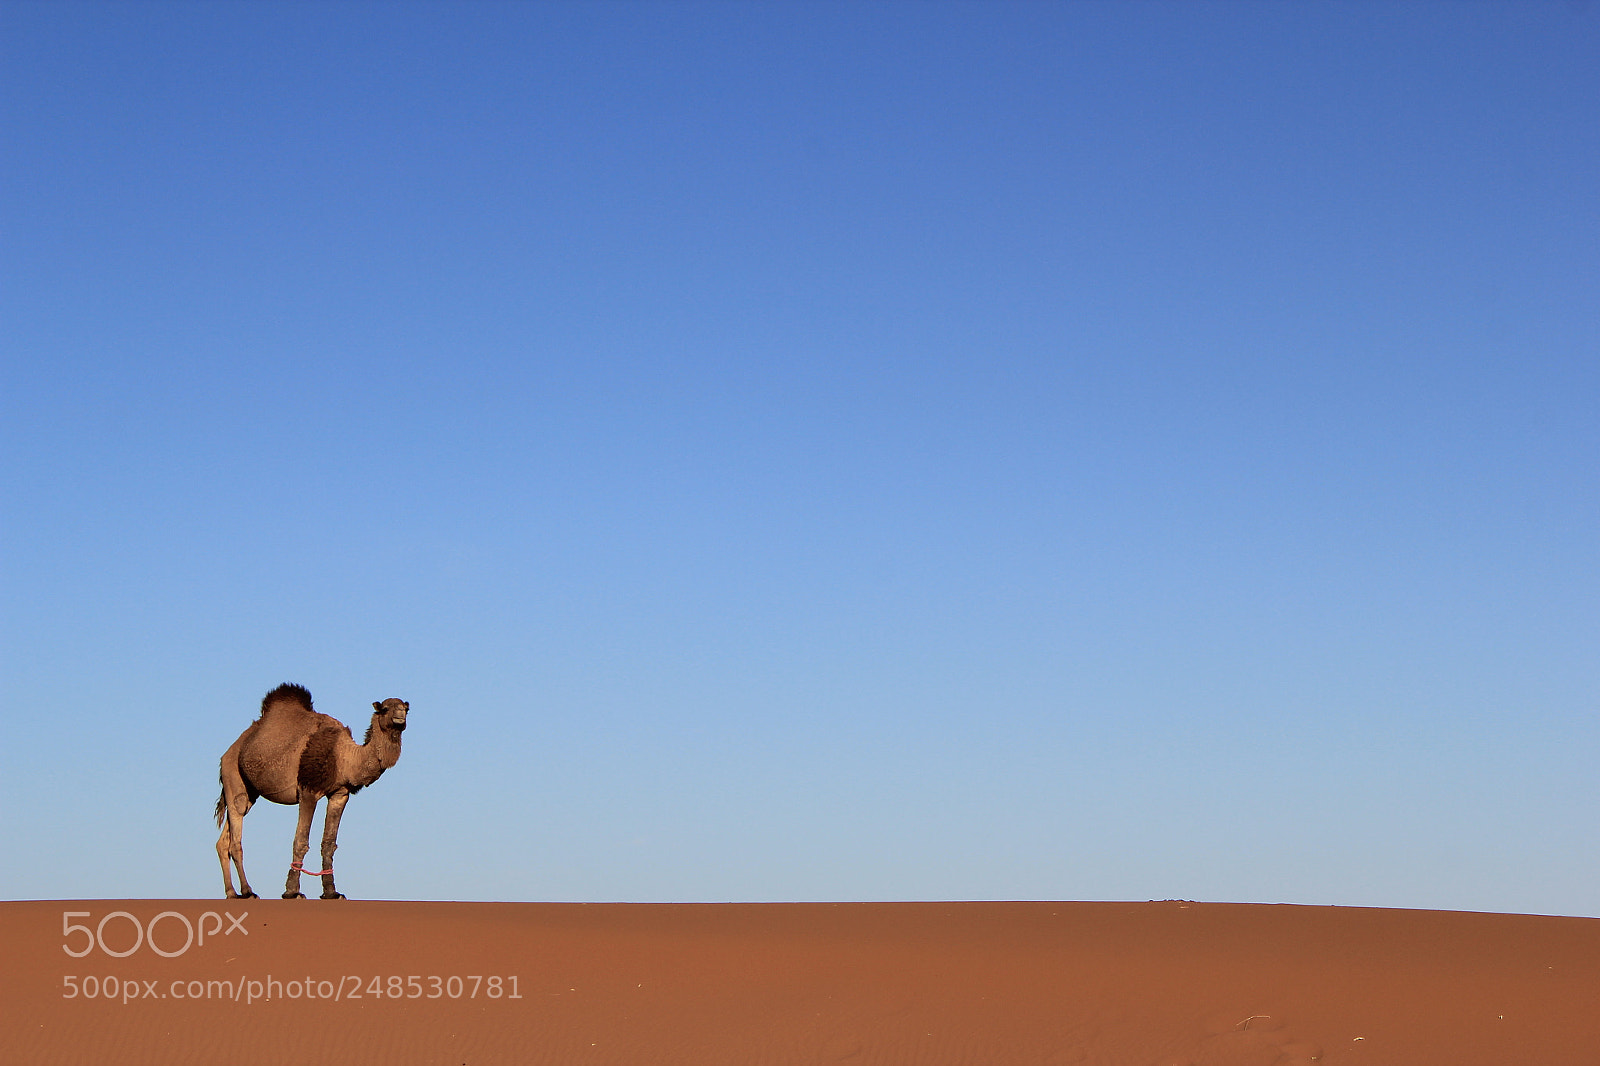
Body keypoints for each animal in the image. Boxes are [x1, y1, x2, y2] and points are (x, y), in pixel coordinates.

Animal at [215, 683, 408, 900]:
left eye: (406, 707)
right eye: (385, 708)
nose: (401, 715)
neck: (344, 757)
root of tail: (227, 753)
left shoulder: (339, 794)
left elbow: (329, 843)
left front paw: (331, 892)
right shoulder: (308, 790)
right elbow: (301, 841)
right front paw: (292, 891)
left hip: (249, 792)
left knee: (223, 840)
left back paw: (232, 893)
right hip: (233, 775)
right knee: (236, 830)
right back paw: (248, 891)